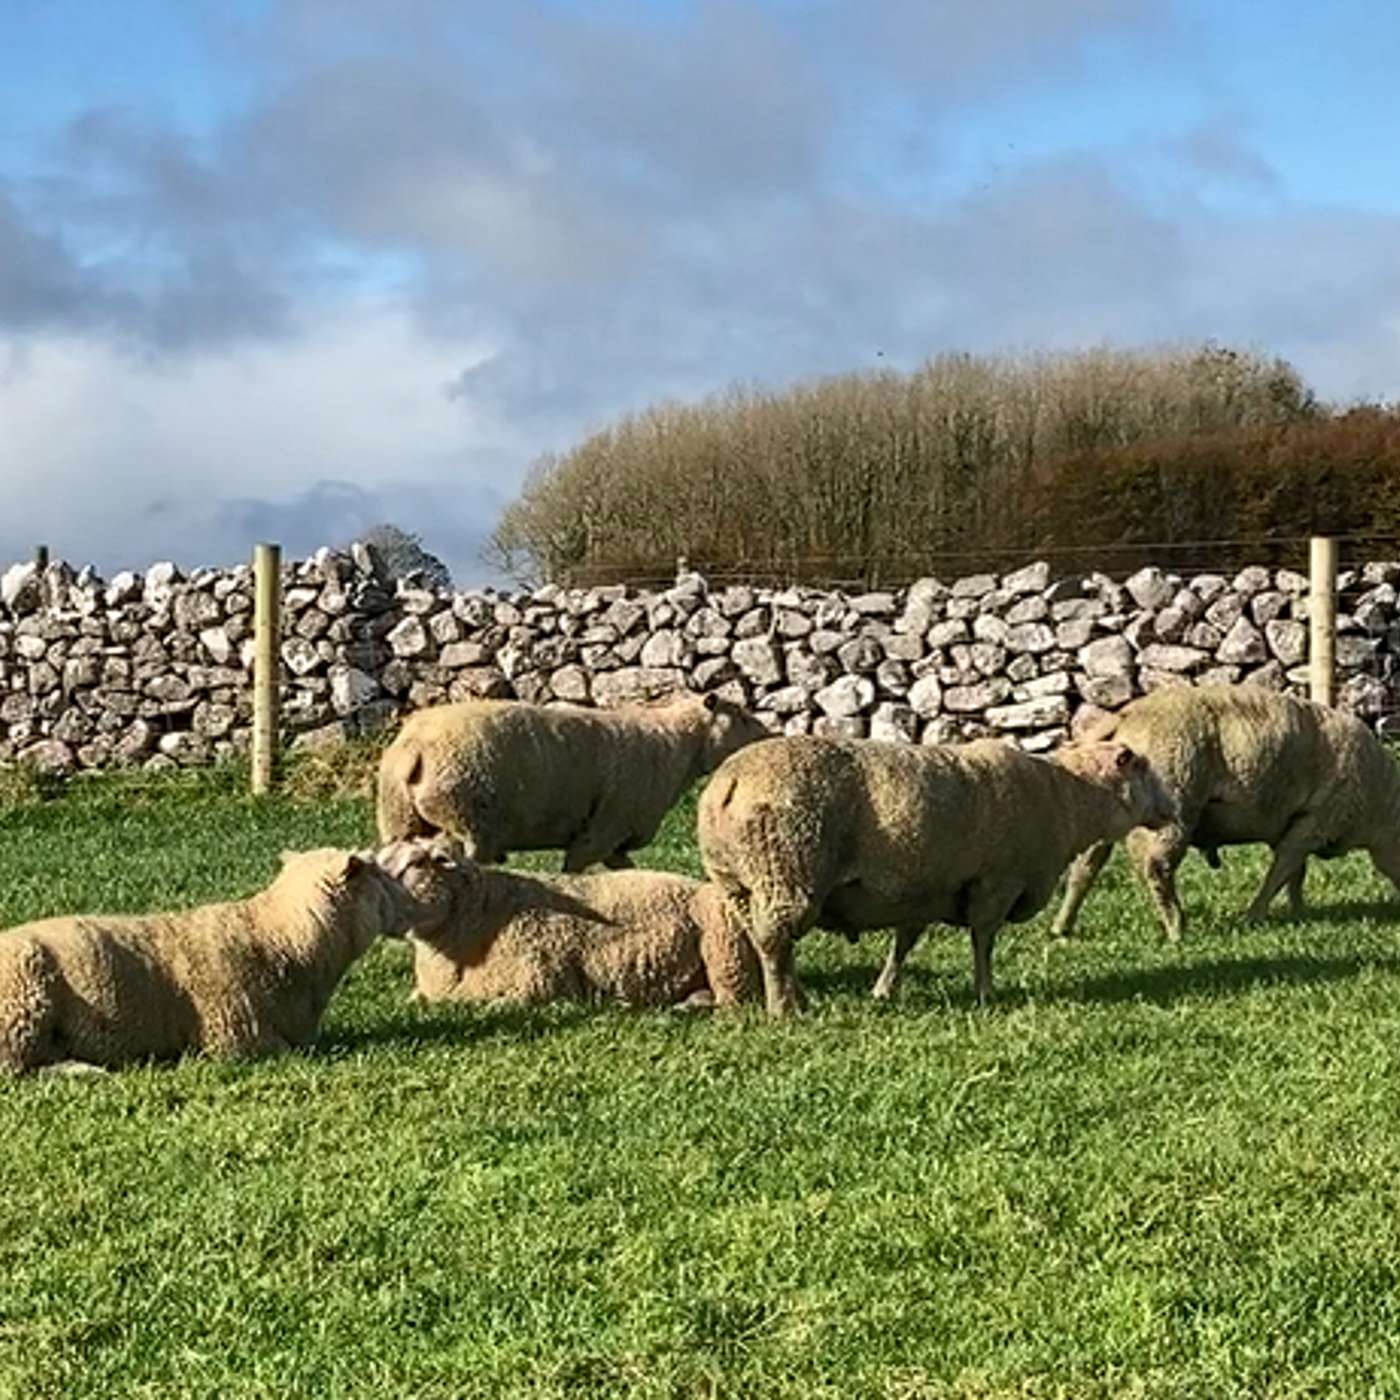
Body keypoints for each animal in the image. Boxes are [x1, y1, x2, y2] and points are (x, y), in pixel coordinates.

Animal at [0, 848, 423, 1074]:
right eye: (377, 874)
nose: (411, 902)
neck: (280, 938)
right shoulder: (238, 1039)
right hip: (22, 1011)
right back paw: (83, 1070)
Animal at [375, 692, 769, 871]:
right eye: (741, 716)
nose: (770, 738)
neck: (676, 745)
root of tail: (414, 749)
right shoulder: (600, 832)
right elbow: (575, 873)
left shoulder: (615, 841)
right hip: (468, 820)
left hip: (400, 820)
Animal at [696, 734, 1176, 1017]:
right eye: (1144, 769)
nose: (1173, 810)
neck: (1068, 797)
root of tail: (726, 784)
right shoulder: (995, 883)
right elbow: (984, 940)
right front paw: (985, 993)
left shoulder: (924, 889)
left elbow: (904, 943)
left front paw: (883, 990)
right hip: (785, 868)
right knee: (776, 940)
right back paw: (785, 1010)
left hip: (740, 882)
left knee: (763, 938)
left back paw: (798, 998)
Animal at [1049, 684, 1400, 942]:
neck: (1383, 806)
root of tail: (1127, 713)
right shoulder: (1315, 823)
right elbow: (1282, 870)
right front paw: (1254, 917)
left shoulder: (1295, 824)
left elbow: (1295, 873)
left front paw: (1299, 912)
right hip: (1174, 806)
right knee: (1156, 867)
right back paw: (1177, 929)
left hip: (1111, 806)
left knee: (1085, 867)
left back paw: (1061, 927)